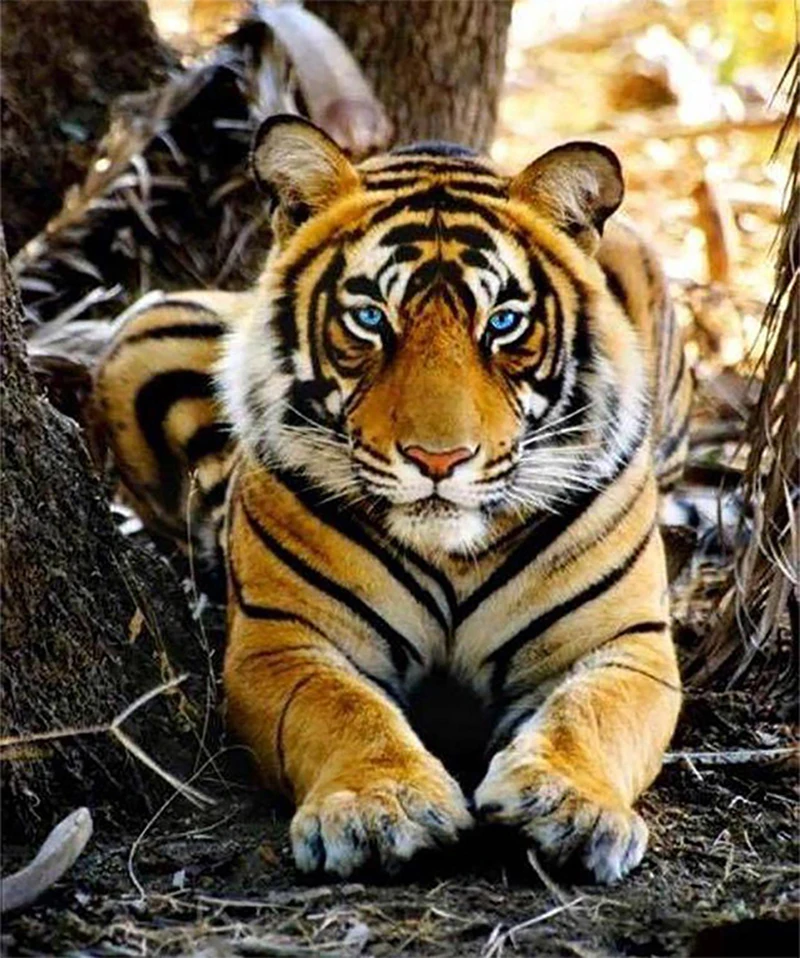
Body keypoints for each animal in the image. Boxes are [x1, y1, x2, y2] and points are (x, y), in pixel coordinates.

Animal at [94, 114, 693, 884]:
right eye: (372, 319)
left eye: (503, 323)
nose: (439, 460)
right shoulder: (283, 639)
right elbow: (343, 709)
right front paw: (381, 809)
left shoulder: (624, 642)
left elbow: (589, 713)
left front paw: (567, 806)